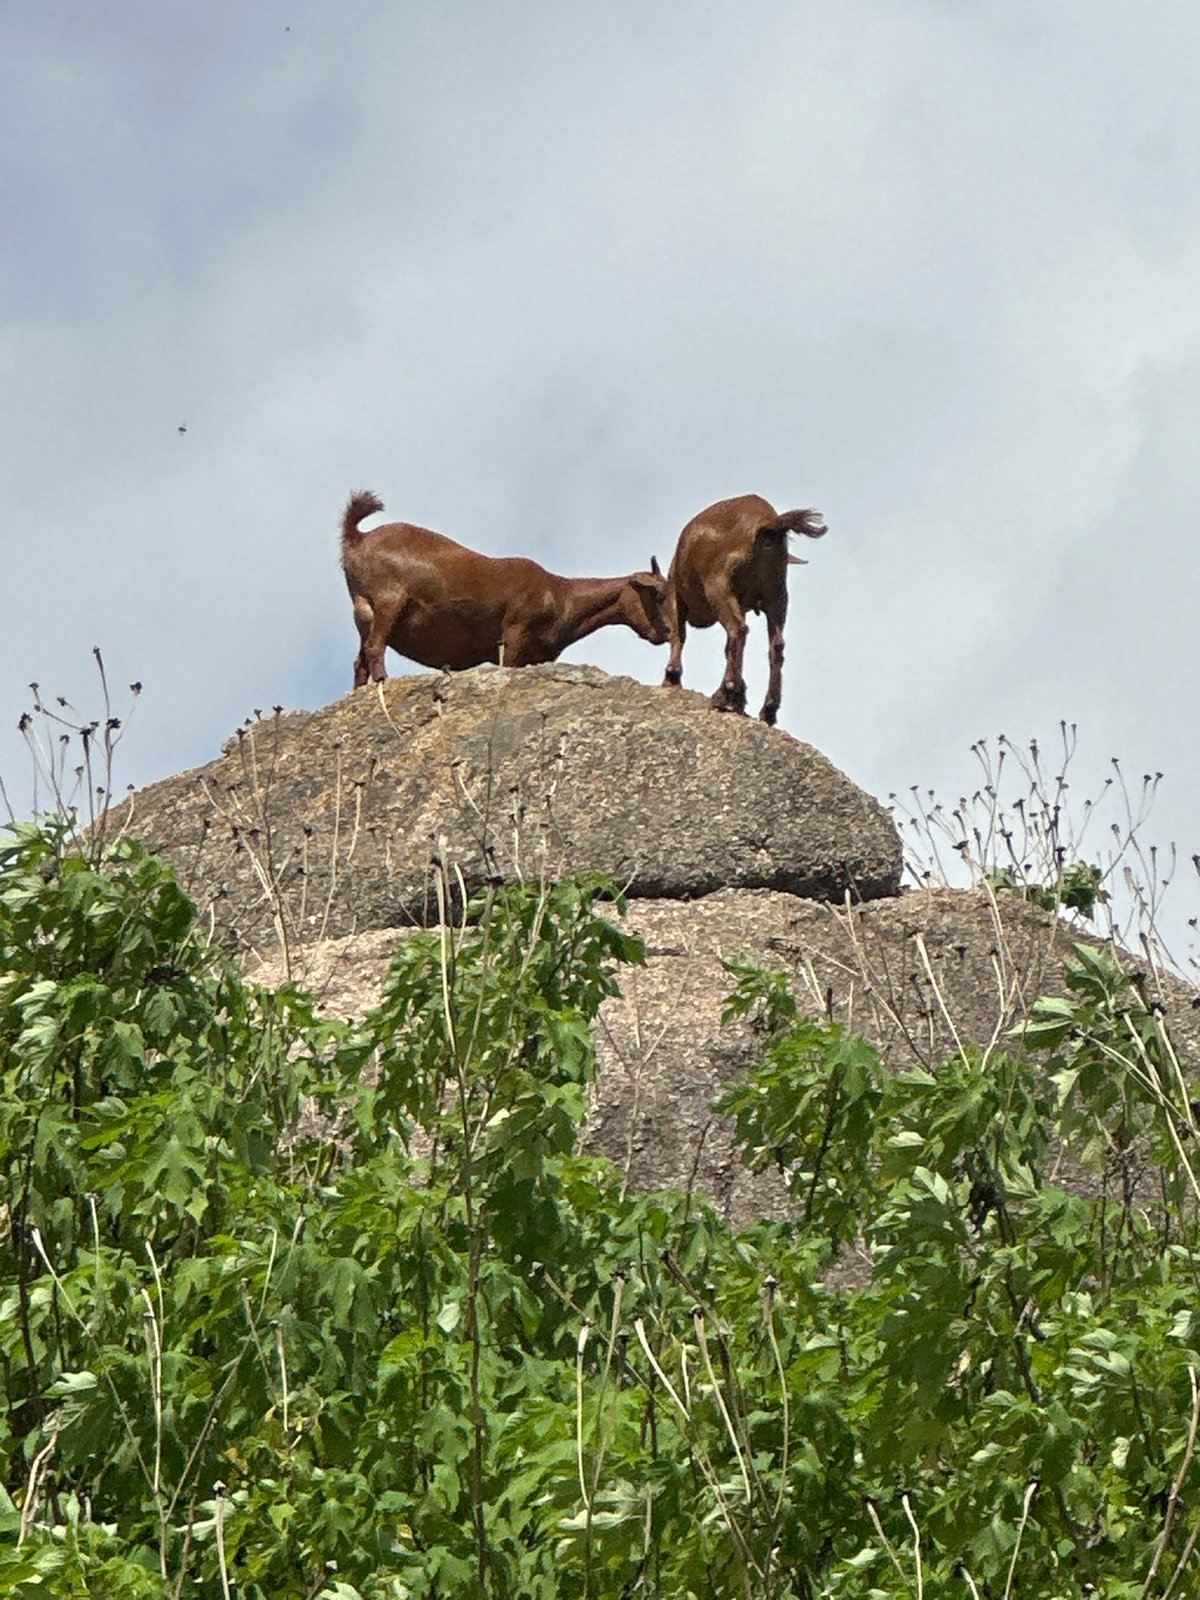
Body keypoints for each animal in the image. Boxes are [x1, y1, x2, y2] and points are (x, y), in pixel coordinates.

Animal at [340, 491, 669, 686]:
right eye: (658, 594)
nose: (666, 633)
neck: (560, 596)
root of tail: (357, 538)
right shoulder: (514, 632)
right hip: (389, 600)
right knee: (375, 647)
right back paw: (383, 682)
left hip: (363, 611)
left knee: (359, 660)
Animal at [661, 494, 827, 726]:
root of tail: (767, 524)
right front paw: (741, 696)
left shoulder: (675, 593)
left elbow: (678, 633)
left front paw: (671, 677)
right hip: (777, 594)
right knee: (775, 645)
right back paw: (768, 709)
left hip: (719, 585)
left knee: (737, 630)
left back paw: (723, 694)